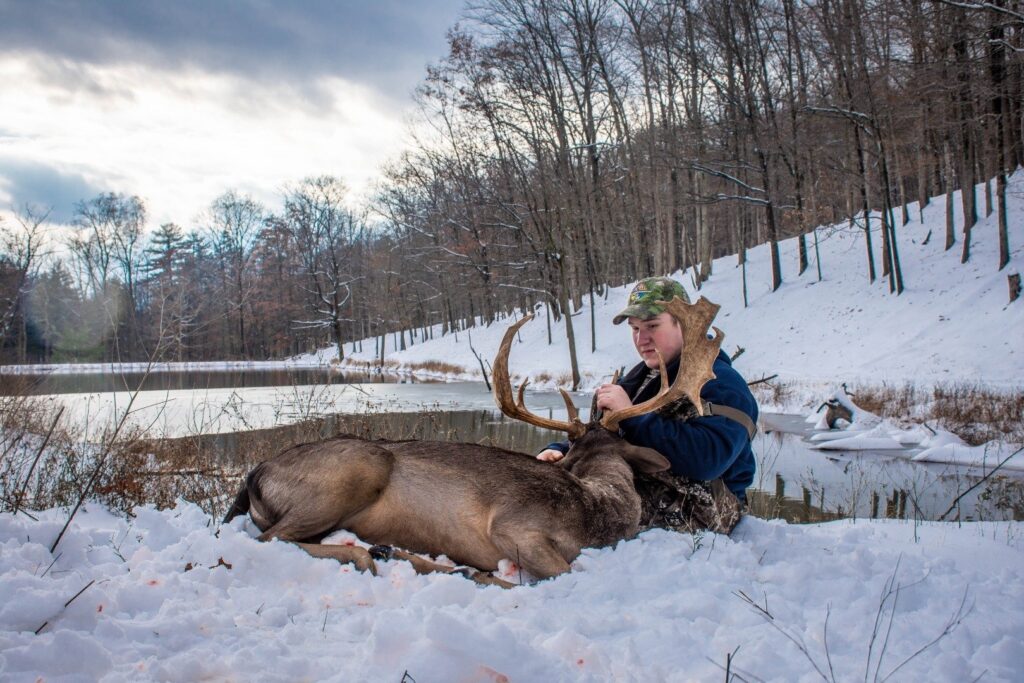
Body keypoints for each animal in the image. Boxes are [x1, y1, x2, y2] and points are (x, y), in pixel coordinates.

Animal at [222, 296, 724, 585]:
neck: (597, 512)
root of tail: (254, 474)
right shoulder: (514, 526)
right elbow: (560, 572)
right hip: (353, 470)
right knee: (267, 539)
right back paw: (374, 556)